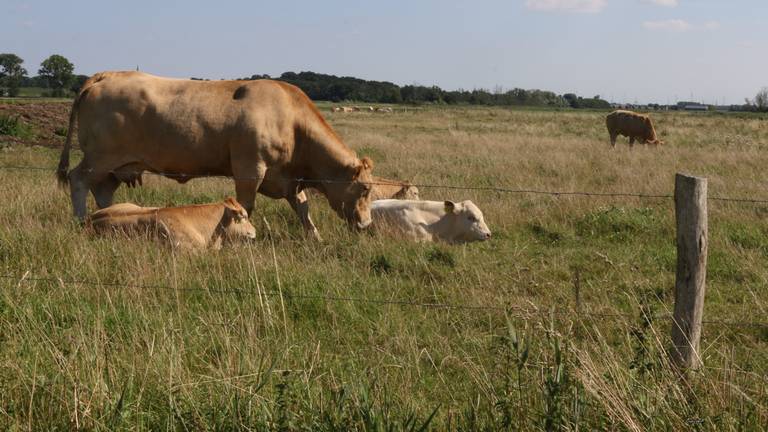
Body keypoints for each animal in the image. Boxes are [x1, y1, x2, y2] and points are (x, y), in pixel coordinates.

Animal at [57, 70, 376, 240]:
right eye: (364, 189)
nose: (366, 224)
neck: (292, 122)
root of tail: (107, 75)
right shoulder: (250, 170)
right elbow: (246, 205)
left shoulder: (287, 180)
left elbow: (303, 208)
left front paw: (315, 237)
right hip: (100, 158)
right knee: (78, 179)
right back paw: (79, 220)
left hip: (117, 165)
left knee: (103, 190)